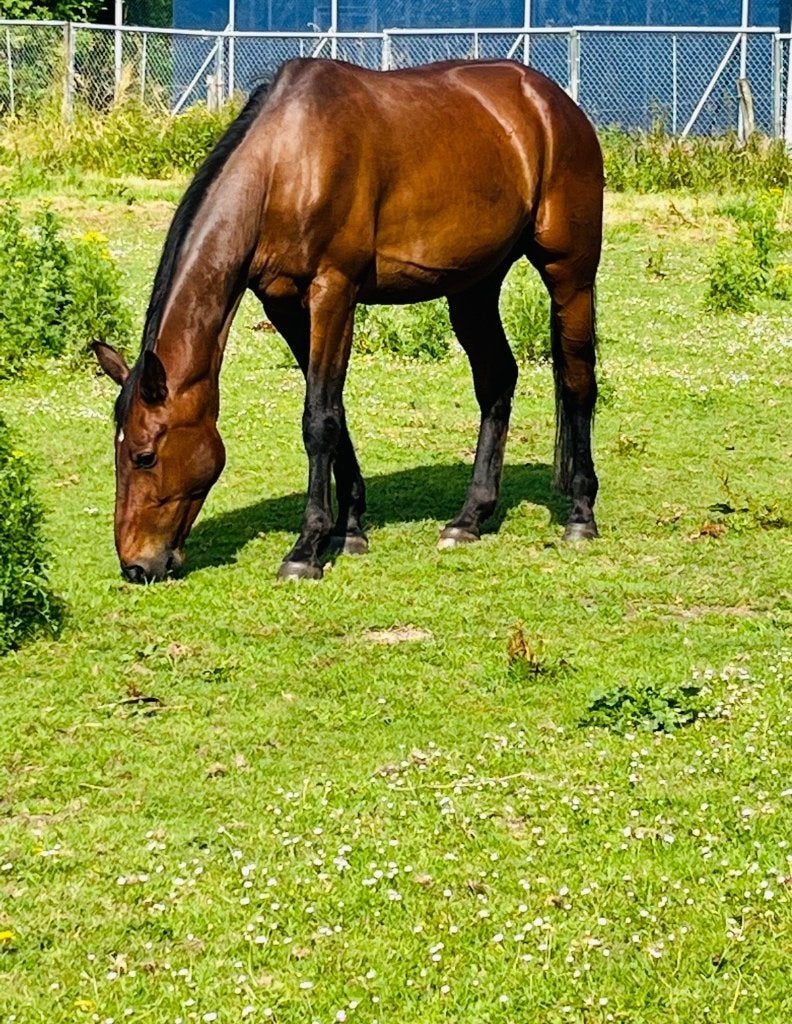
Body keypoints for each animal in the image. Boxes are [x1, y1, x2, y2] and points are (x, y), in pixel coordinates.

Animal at [93, 57, 604, 583]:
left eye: (145, 455)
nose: (136, 565)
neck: (288, 162)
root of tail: (554, 103)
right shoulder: (284, 306)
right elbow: (333, 411)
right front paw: (349, 527)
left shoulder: (333, 292)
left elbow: (319, 419)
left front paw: (306, 549)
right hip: (474, 286)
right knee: (497, 380)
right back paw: (468, 519)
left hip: (570, 274)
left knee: (578, 381)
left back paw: (580, 515)